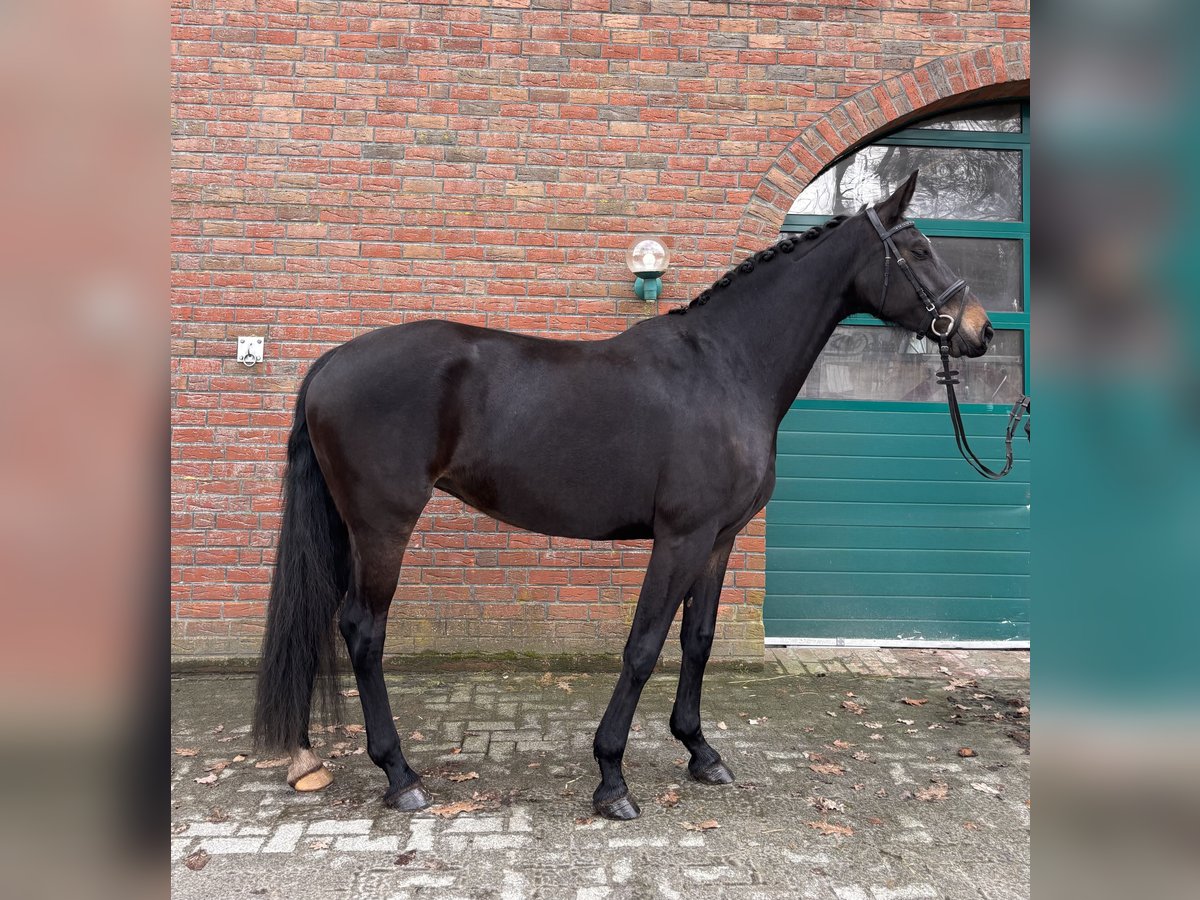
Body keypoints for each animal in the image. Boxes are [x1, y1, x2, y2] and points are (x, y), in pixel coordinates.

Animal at [251, 171, 994, 820]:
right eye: (920, 249)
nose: (980, 329)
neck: (725, 368)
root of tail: (330, 362)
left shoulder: (718, 540)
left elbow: (697, 640)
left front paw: (700, 752)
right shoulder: (680, 537)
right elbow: (643, 646)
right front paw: (612, 778)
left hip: (351, 527)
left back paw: (313, 758)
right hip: (384, 526)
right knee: (362, 629)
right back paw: (400, 775)